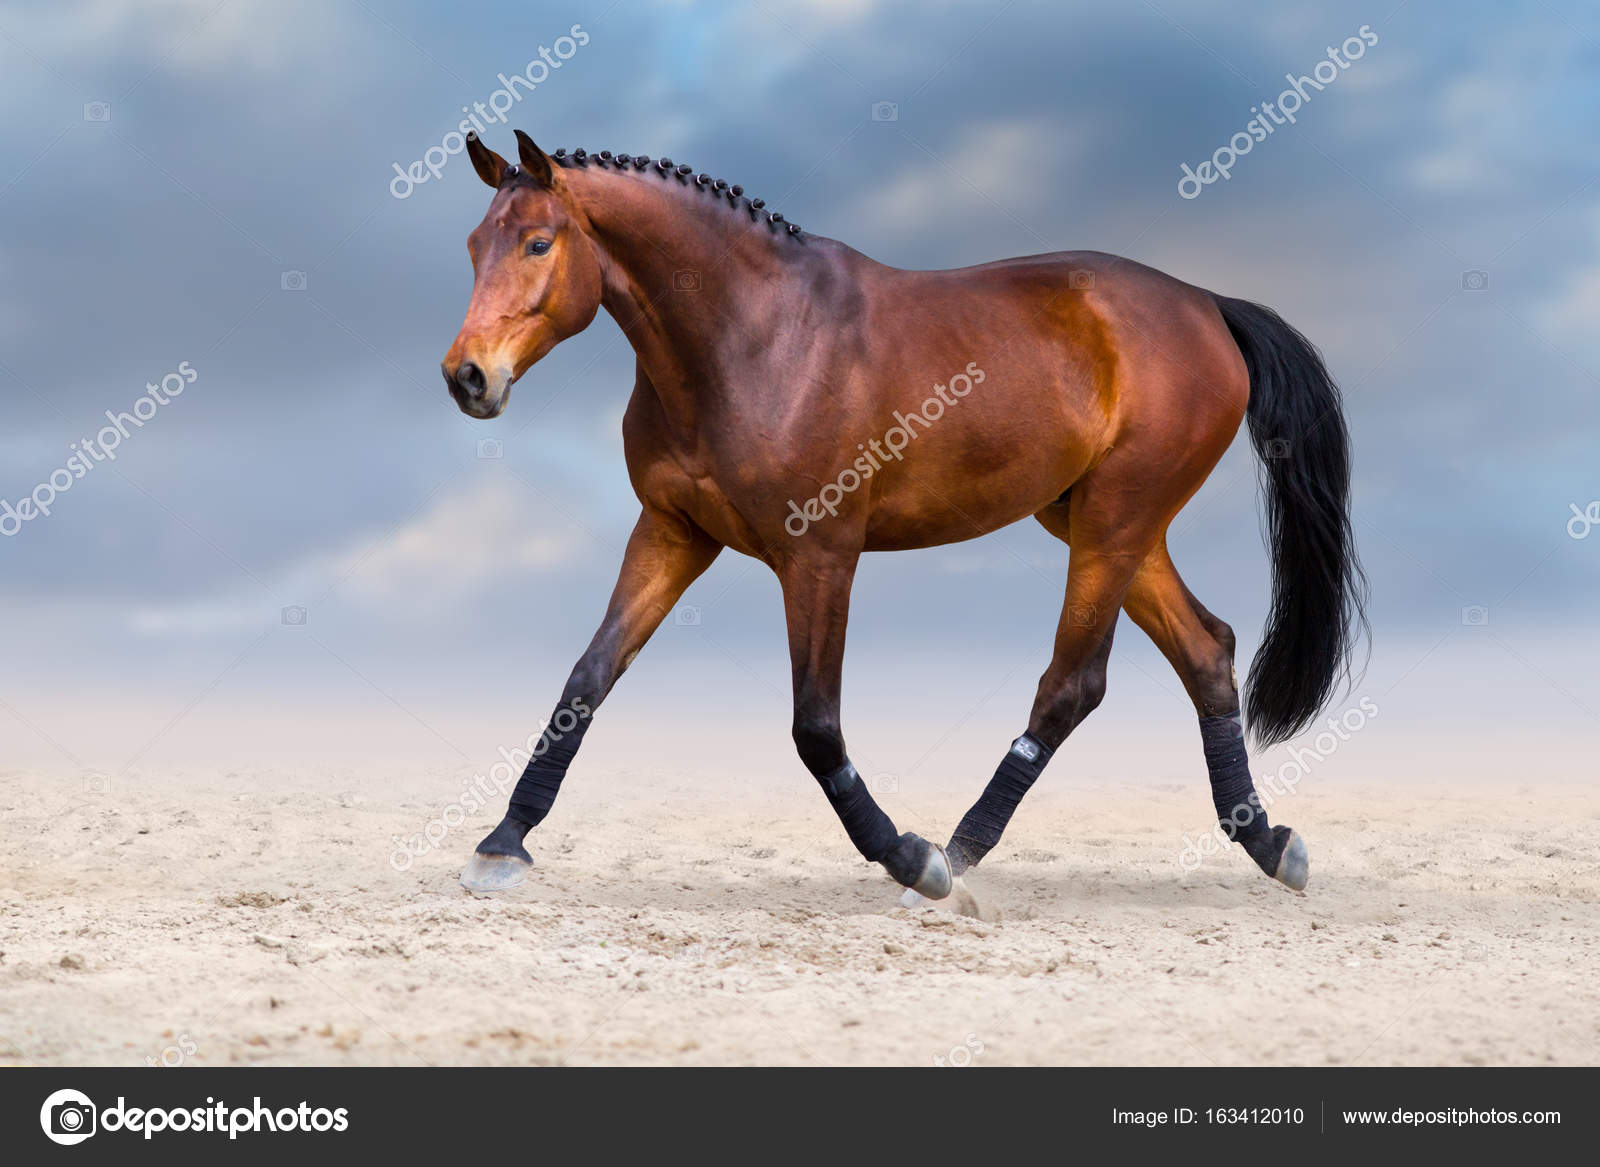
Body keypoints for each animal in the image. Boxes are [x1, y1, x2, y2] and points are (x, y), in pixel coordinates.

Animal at [442, 129, 1366, 906]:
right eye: (475, 246)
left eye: (539, 242)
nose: (467, 377)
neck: (756, 336)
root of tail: (1205, 304)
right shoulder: (672, 532)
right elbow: (586, 679)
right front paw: (502, 843)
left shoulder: (820, 555)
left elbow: (816, 728)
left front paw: (906, 856)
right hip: (1105, 525)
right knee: (1207, 652)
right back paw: (1269, 844)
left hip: (1116, 521)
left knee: (1074, 684)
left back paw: (958, 851)